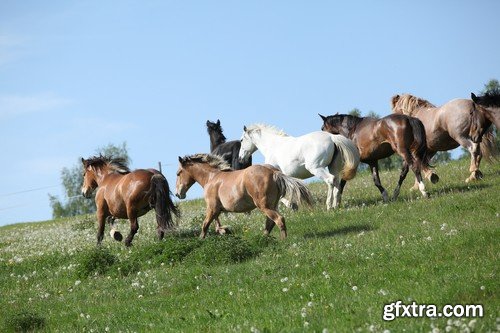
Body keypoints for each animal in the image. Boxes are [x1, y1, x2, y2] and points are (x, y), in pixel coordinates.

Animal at [174, 153, 310, 239]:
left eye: (178, 173)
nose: (178, 194)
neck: (211, 178)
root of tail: (273, 172)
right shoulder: (217, 209)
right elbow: (216, 223)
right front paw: (224, 230)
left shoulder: (212, 208)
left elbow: (205, 225)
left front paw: (200, 240)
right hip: (272, 205)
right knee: (270, 223)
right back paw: (263, 239)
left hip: (264, 206)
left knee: (279, 219)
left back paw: (283, 240)